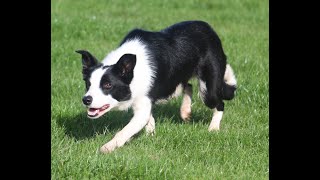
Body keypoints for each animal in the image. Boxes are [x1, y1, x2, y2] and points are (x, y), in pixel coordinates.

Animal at [75, 21, 235, 153]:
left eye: (108, 85)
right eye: (88, 84)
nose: (86, 100)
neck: (134, 69)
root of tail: (208, 29)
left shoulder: (143, 102)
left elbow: (127, 129)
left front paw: (107, 147)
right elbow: (148, 118)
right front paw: (150, 134)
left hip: (208, 88)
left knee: (219, 103)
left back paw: (213, 128)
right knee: (187, 85)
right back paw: (185, 112)